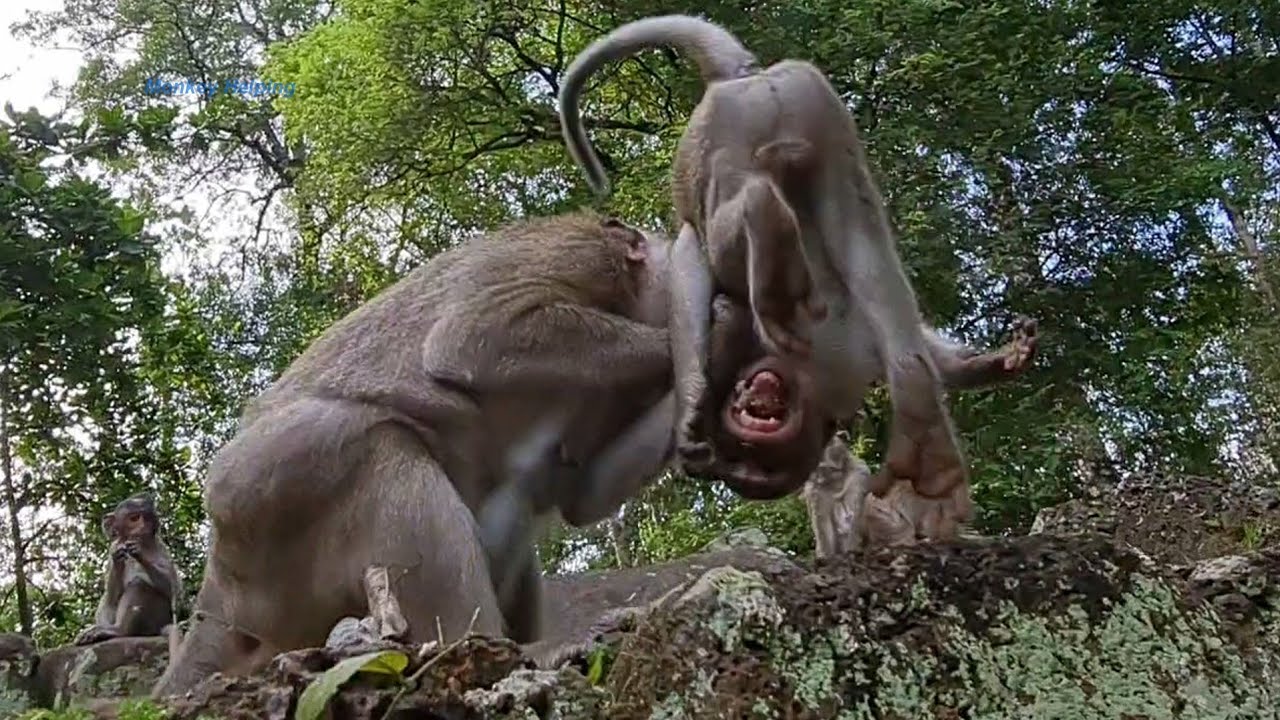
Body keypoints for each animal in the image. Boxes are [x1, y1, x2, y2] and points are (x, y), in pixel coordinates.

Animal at [74, 493, 182, 646]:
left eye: (148, 519)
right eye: (134, 518)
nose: (143, 527)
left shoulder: (160, 547)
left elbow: (174, 590)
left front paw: (139, 554)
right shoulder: (114, 546)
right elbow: (112, 594)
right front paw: (118, 559)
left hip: (156, 618)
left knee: (138, 584)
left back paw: (118, 630)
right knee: (109, 598)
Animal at [558, 15, 985, 533]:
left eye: (752, 460)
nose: (750, 407)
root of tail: (745, 77)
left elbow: (697, 280)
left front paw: (691, 415)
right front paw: (983, 365)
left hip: (723, 128)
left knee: (708, 230)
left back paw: (763, 220)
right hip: (807, 104)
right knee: (860, 235)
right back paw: (923, 424)